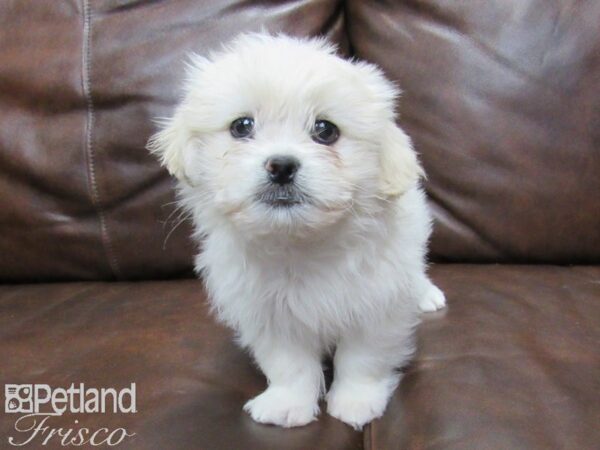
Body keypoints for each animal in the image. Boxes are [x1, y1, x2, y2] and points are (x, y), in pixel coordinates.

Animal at [148, 34, 442, 428]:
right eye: (242, 126)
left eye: (325, 130)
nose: (282, 166)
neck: (300, 243)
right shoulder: (268, 313)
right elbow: (289, 365)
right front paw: (287, 404)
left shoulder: (378, 303)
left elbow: (362, 357)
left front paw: (355, 401)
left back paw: (427, 294)